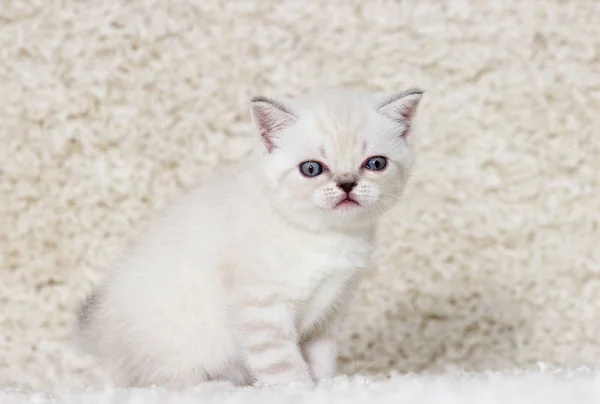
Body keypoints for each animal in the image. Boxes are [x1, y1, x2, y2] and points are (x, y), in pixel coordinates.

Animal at [77, 87, 424, 388]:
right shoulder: (262, 311)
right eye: (312, 169)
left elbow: (321, 361)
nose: (347, 184)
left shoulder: (328, 315)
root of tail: (100, 330)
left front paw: (327, 387)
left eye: (375, 164)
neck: (327, 237)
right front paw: (301, 390)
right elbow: (284, 367)